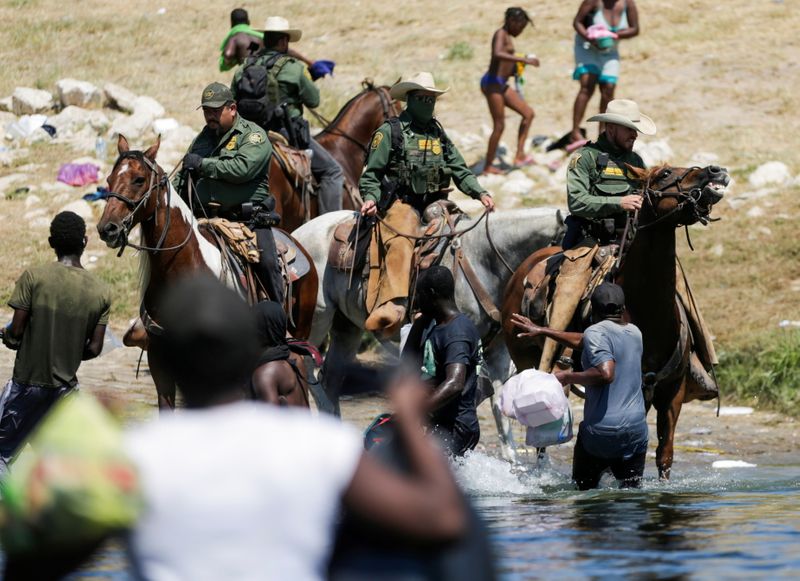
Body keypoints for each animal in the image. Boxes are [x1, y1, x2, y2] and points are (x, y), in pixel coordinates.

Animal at [294, 207, 564, 458]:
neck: (484, 261)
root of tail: (299, 233)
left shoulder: (497, 351)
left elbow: (499, 406)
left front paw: (512, 462)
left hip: (346, 328)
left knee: (330, 378)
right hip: (318, 317)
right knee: (307, 363)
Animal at [500, 162, 732, 476]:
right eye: (664, 174)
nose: (715, 171)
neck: (650, 314)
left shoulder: (671, 392)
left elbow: (664, 456)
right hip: (528, 360)